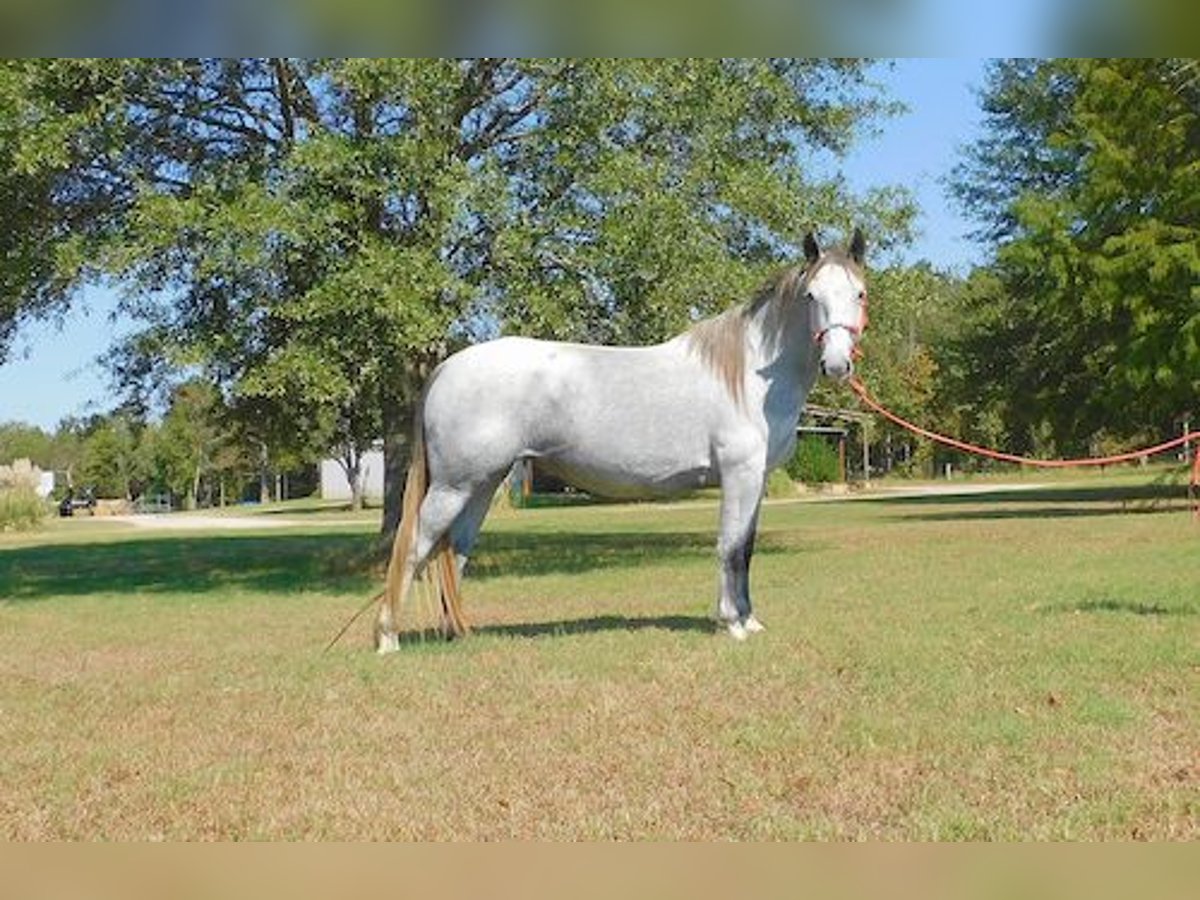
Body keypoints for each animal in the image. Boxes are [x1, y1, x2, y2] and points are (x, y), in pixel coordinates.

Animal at [379, 229, 868, 652]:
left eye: (859, 293)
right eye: (811, 296)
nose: (837, 364)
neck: (748, 375)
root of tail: (447, 367)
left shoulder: (758, 480)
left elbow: (745, 548)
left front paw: (749, 619)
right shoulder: (740, 474)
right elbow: (730, 547)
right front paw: (733, 623)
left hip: (480, 484)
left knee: (455, 551)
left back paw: (457, 634)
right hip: (452, 486)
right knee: (415, 545)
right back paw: (389, 638)